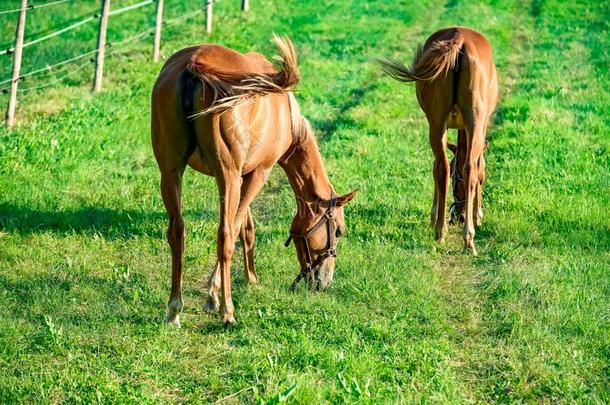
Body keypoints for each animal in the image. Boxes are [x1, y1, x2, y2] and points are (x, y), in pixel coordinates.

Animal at [150, 35, 356, 326]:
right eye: (338, 231)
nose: (323, 282)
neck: (288, 117)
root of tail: (195, 65)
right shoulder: (258, 173)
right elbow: (237, 228)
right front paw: (213, 295)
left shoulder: (242, 175)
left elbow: (246, 228)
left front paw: (251, 278)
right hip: (227, 175)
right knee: (224, 234)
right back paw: (227, 311)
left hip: (171, 172)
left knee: (177, 231)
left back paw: (174, 309)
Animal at [378, 25, 496, 254]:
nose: (458, 216)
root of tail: (460, 39)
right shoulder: (482, 125)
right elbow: (481, 168)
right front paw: (478, 215)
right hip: (474, 121)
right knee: (469, 167)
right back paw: (466, 236)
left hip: (436, 122)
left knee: (442, 167)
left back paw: (441, 231)